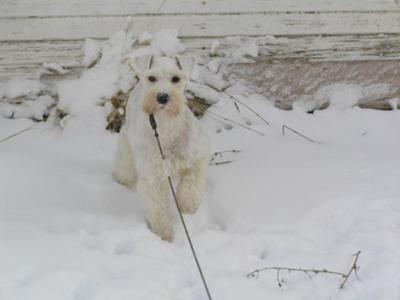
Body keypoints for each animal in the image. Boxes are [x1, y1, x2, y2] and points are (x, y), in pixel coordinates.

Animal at [113, 54, 209, 241]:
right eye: (152, 78)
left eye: (176, 78)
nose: (162, 97)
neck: (166, 126)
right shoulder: (153, 176)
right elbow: (158, 208)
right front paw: (163, 234)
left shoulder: (197, 158)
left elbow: (191, 184)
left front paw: (187, 205)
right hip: (126, 141)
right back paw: (122, 180)